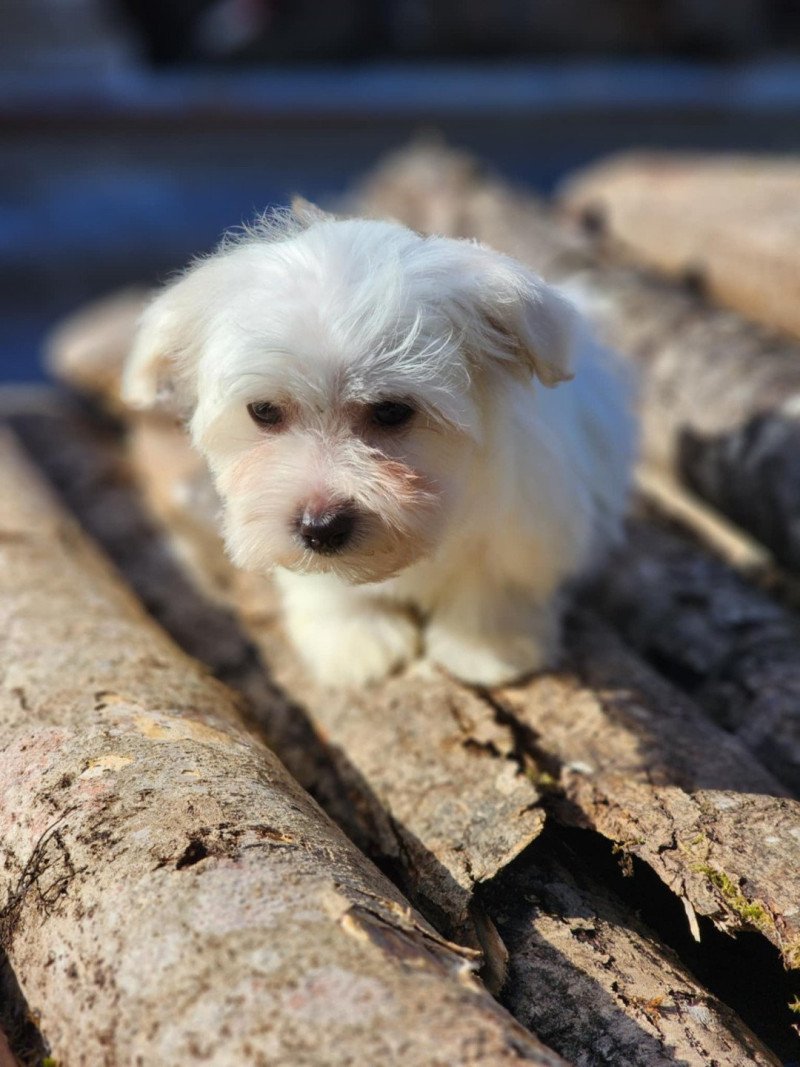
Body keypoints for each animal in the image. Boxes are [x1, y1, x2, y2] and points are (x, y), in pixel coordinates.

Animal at [122, 203, 635, 687]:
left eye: (391, 411)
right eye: (264, 411)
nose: (321, 528)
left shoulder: (525, 524)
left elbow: (495, 582)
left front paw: (487, 647)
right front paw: (352, 640)